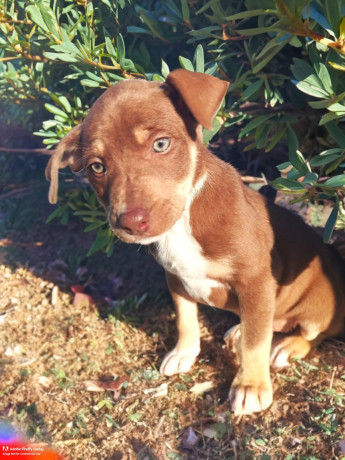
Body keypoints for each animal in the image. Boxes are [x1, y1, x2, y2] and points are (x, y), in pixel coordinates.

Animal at [45, 69, 344, 416]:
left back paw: (287, 346)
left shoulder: (256, 279)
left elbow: (255, 342)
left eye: (161, 144)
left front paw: (251, 385)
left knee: (314, 332)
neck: (183, 221)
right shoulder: (175, 276)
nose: (131, 222)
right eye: (96, 167)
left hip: (320, 307)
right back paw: (241, 329)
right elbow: (186, 319)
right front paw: (184, 352)